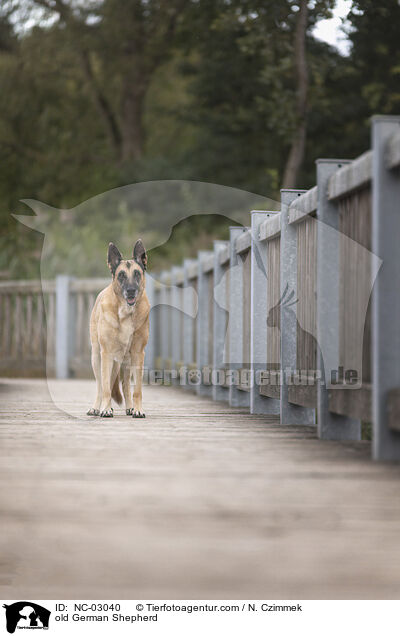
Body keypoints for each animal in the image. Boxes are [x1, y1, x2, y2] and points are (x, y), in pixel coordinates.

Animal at [86, 238, 149, 418]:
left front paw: (138, 409)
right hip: (96, 357)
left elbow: (137, 390)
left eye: (137, 273)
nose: (131, 291)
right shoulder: (106, 354)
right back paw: (96, 407)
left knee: (126, 385)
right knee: (101, 385)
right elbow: (106, 387)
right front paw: (106, 409)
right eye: (121, 275)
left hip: (126, 362)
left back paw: (130, 407)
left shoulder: (138, 354)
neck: (126, 313)